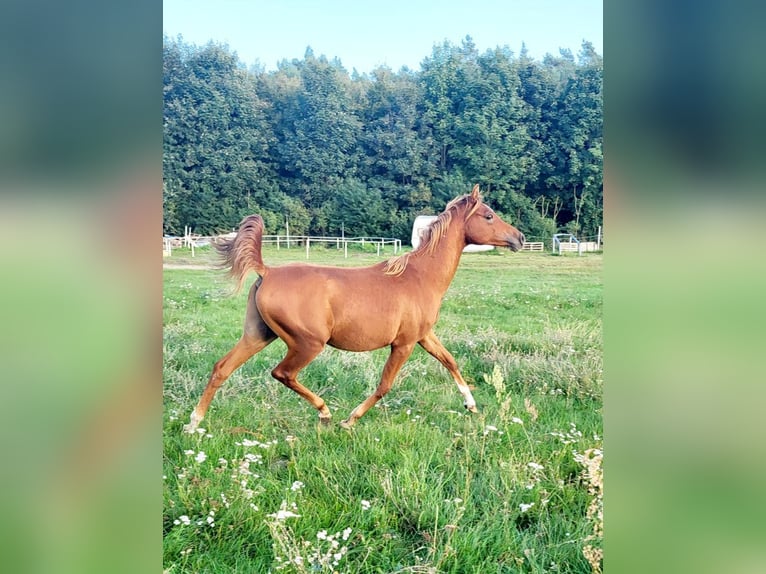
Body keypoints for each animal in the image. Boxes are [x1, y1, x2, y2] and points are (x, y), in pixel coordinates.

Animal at [183, 184, 525, 432]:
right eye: (489, 215)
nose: (520, 238)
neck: (419, 276)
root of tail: (267, 272)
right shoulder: (403, 343)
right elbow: (385, 385)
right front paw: (351, 420)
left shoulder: (424, 336)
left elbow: (450, 361)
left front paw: (471, 404)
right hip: (308, 343)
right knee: (283, 373)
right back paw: (325, 413)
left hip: (258, 335)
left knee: (222, 368)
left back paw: (194, 423)